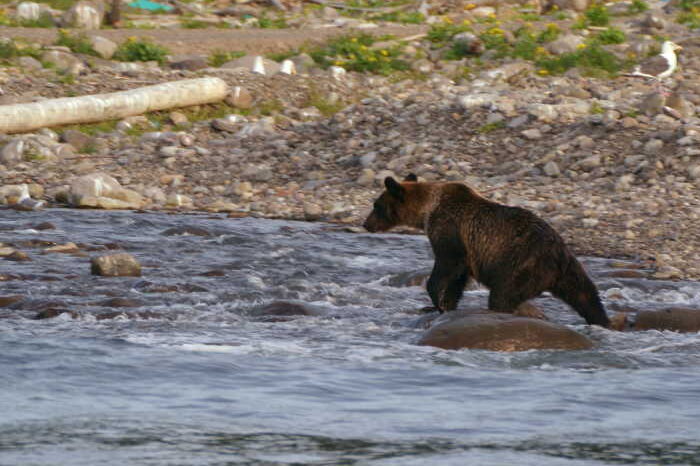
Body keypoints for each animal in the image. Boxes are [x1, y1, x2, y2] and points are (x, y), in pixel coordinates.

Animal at [364, 173, 608, 326]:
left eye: (376, 205)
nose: (366, 224)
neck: (426, 211)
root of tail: (558, 254)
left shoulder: (449, 229)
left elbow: (447, 264)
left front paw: (436, 299)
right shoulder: (466, 249)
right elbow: (458, 278)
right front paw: (445, 304)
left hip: (522, 264)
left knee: (502, 296)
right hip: (568, 269)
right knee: (586, 295)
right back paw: (602, 320)